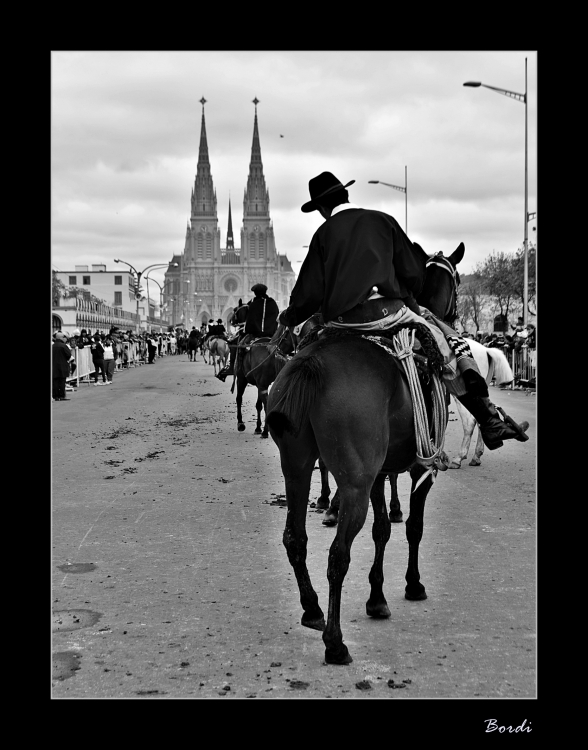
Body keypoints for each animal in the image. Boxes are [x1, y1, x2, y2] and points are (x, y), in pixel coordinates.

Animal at [266, 244, 464, 668]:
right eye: (455, 281)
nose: (452, 317)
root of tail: (311, 362)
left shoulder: (378, 471)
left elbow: (383, 529)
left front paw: (377, 597)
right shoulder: (420, 469)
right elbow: (412, 527)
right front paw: (412, 584)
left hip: (297, 467)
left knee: (295, 538)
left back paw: (312, 608)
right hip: (354, 482)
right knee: (337, 556)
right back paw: (335, 641)